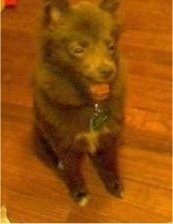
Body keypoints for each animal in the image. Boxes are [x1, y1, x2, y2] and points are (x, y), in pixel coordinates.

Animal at [33, 0, 123, 206]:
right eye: (78, 50)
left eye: (111, 46)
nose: (109, 71)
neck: (91, 104)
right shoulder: (64, 144)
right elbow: (72, 171)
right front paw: (79, 192)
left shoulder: (108, 138)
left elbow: (109, 163)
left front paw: (114, 184)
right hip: (41, 136)